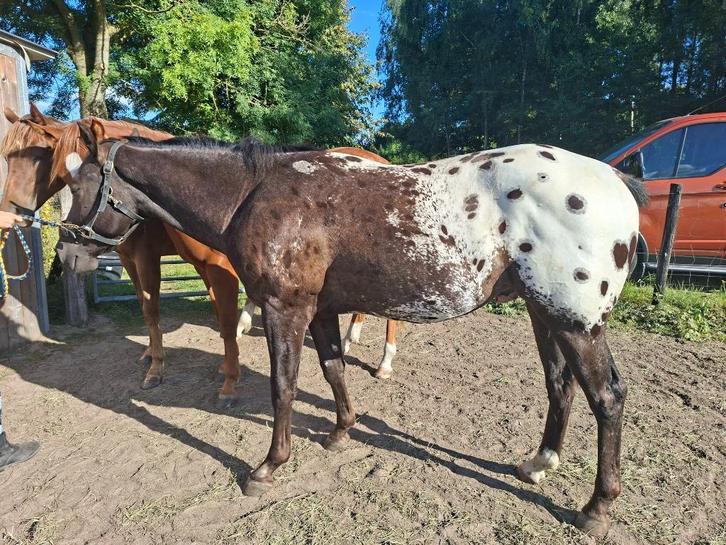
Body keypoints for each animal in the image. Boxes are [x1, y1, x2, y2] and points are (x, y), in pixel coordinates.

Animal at [0, 108, 400, 399]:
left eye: (75, 181)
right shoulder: (169, 263)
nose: (66, 251)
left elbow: (168, 311)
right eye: (58, 170)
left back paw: (384, 362)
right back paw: (348, 338)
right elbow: (169, 311)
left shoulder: (176, 262)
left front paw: (196, 376)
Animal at [57, 120, 646, 536]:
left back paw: (596, 509)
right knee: (560, 386)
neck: (255, 194)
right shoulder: (319, 311)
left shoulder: (284, 309)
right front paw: (341, 431)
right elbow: (333, 368)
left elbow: (284, 387)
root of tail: (614, 179)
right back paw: (538, 463)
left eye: (77, 186)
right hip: (546, 315)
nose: (65, 255)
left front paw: (268, 467)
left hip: (577, 323)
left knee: (607, 397)